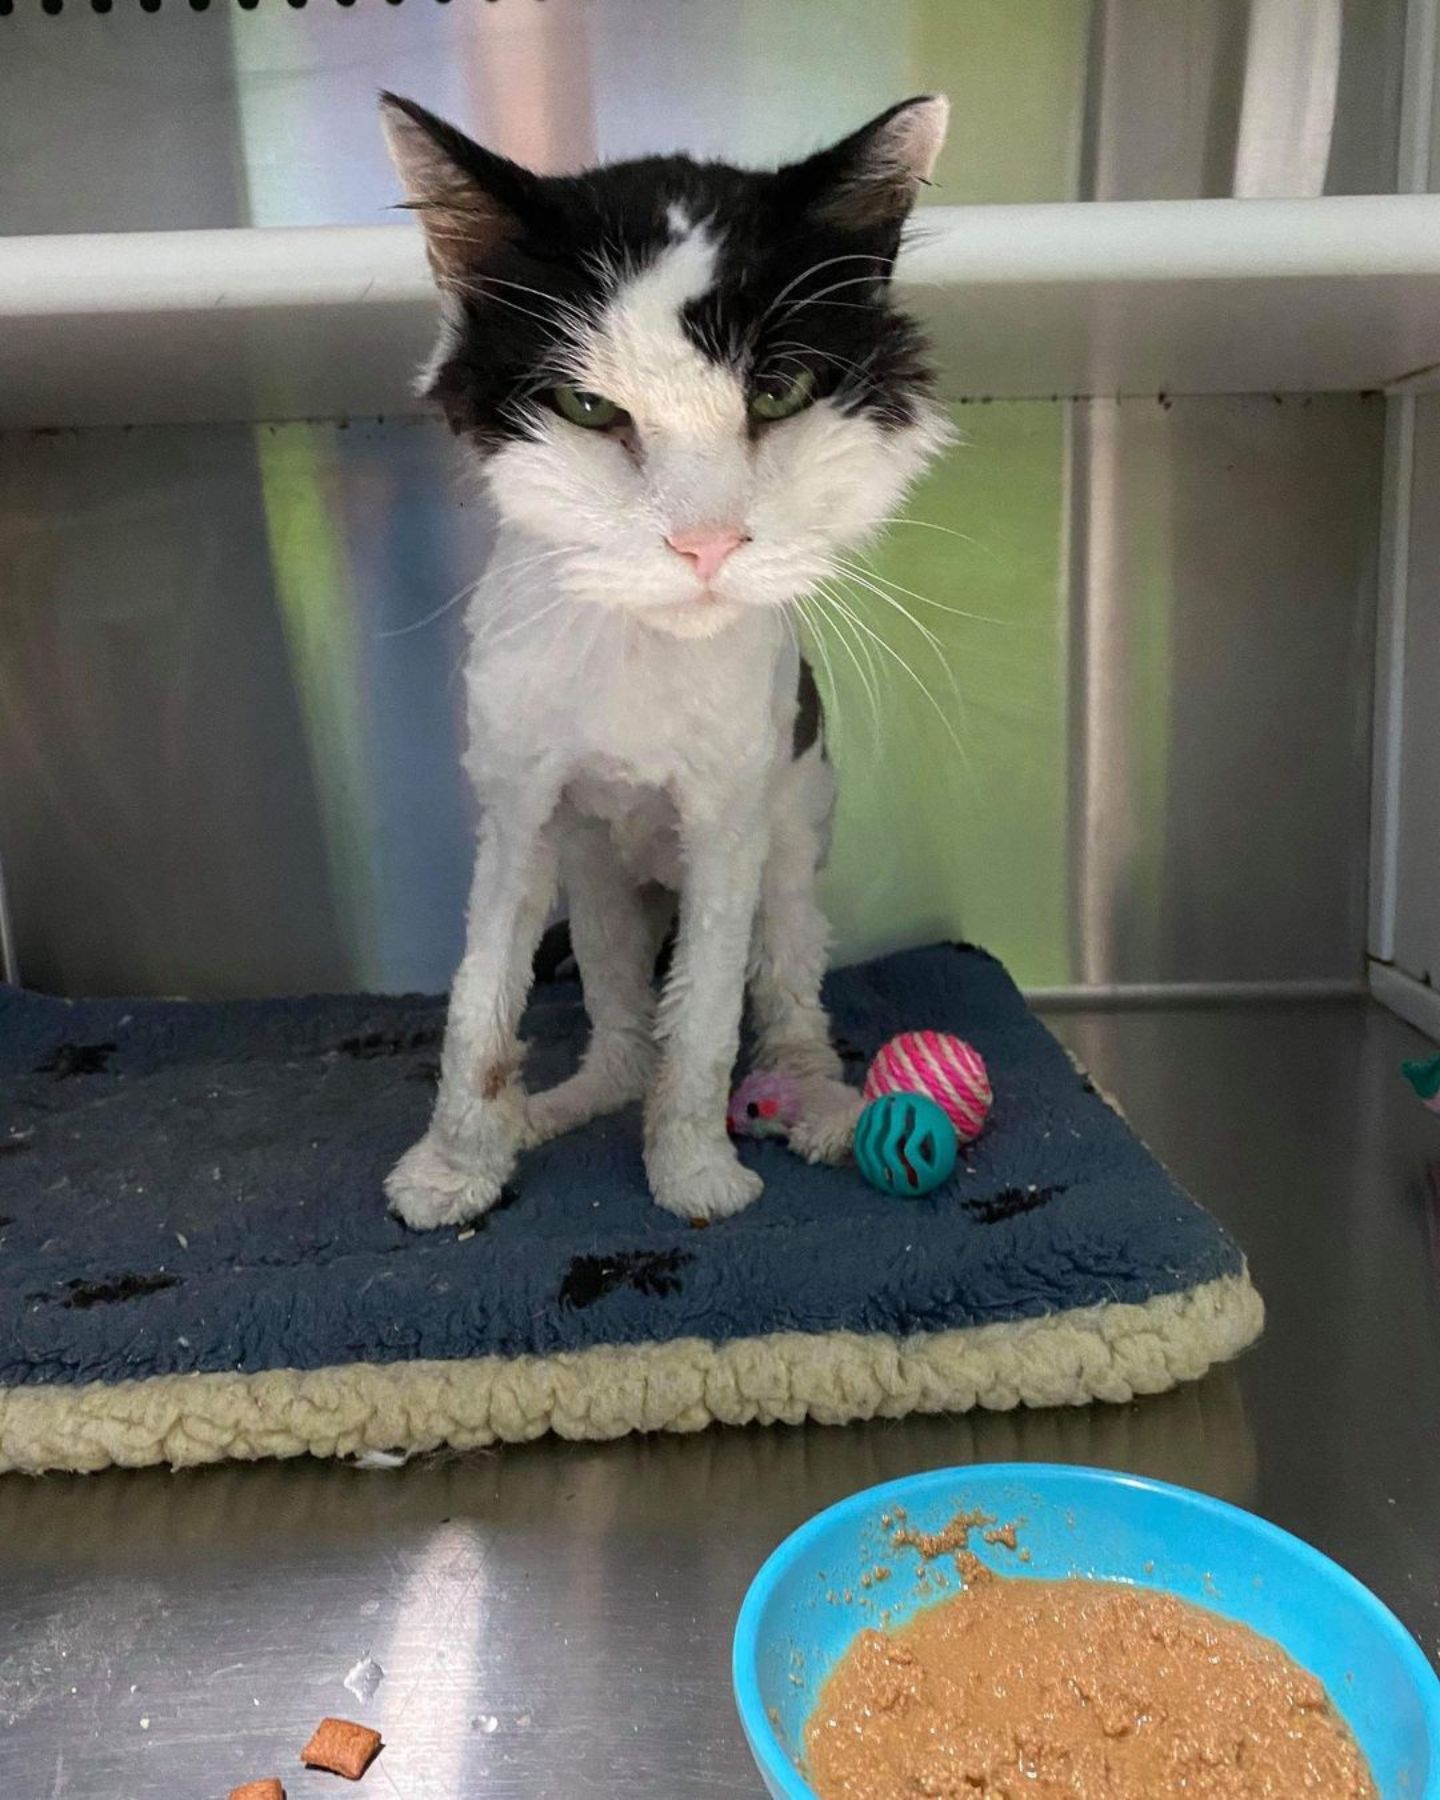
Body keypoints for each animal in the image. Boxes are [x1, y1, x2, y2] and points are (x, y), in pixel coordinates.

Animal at [376, 91, 950, 1231]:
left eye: (779, 395)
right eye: (589, 409)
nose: (706, 543)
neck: (641, 645)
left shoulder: (728, 824)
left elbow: (705, 1017)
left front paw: (690, 1173)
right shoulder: (519, 807)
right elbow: (479, 1001)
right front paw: (455, 1165)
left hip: (791, 851)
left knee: (783, 991)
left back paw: (817, 1099)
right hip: (597, 881)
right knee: (623, 1032)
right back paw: (557, 1107)